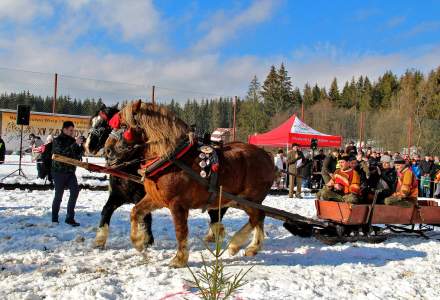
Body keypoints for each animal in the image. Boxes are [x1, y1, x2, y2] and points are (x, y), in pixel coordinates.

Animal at [105, 101, 274, 268]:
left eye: (124, 126)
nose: (107, 150)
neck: (172, 158)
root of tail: (266, 155)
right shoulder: (156, 198)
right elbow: (136, 212)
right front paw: (139, 242)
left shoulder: (178, 204)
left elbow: (180, 231)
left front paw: (179, 259)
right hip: (240, 201)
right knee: (259, 217)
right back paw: (252, 247)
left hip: (249, 199)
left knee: (257, 216)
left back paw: (236, 244)